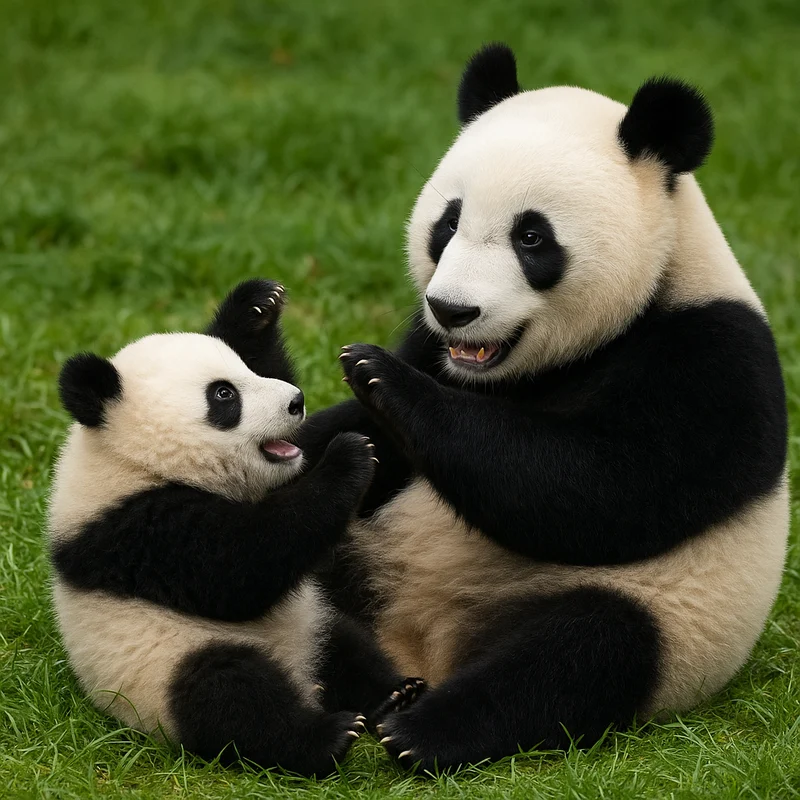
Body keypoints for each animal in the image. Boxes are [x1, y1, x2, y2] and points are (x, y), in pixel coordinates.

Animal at [48, 279, 424, 776]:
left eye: (246, 371)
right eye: (224, 395)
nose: (296, 401)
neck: (133, 459)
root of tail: (302, 680)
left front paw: (256, 308)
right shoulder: (136, 527)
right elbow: (238, 567)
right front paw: (348, 458)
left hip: (312, 620)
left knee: (346, 645)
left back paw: (396, 694)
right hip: (163, 668)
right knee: (230, 694)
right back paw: (326, 736)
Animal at [298, 45, 789, 772]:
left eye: (532, 237)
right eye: (448, 223)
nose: (454, 310)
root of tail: (427, 644)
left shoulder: (711, 358)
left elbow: (596, 488)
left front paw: (379, 374)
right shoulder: (432, 346)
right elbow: (356, 441)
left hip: (667, 616)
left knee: (582, 653)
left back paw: (421, 729)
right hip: (365, 544)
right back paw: (377, 688)